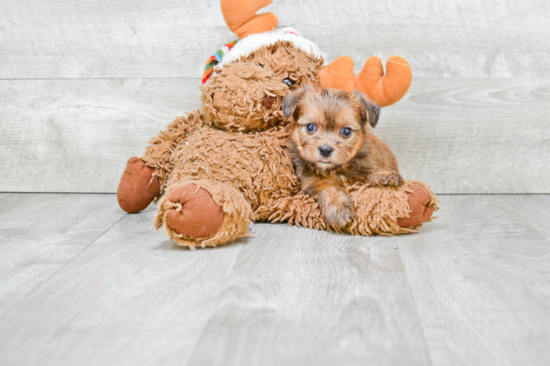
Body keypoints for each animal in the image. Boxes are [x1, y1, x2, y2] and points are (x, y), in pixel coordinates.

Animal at [284, 86, 406, 229]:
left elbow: (370, 173)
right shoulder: (312, 182)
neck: (338, 168)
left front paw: (384, 175)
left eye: (346, 131)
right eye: (310, 127)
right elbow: (329, 188)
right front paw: (337, 208)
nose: (325, 150)